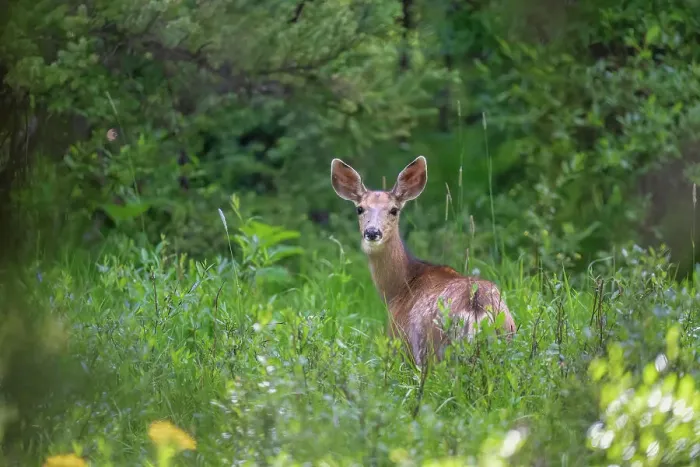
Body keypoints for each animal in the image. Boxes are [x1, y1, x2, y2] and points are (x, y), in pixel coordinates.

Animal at [330, 155, 516, 366]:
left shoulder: (398, 343)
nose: (372, 232)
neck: (399, 288)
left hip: (435, 351)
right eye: (359, 209)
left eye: (394, 210)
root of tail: (477, 308)